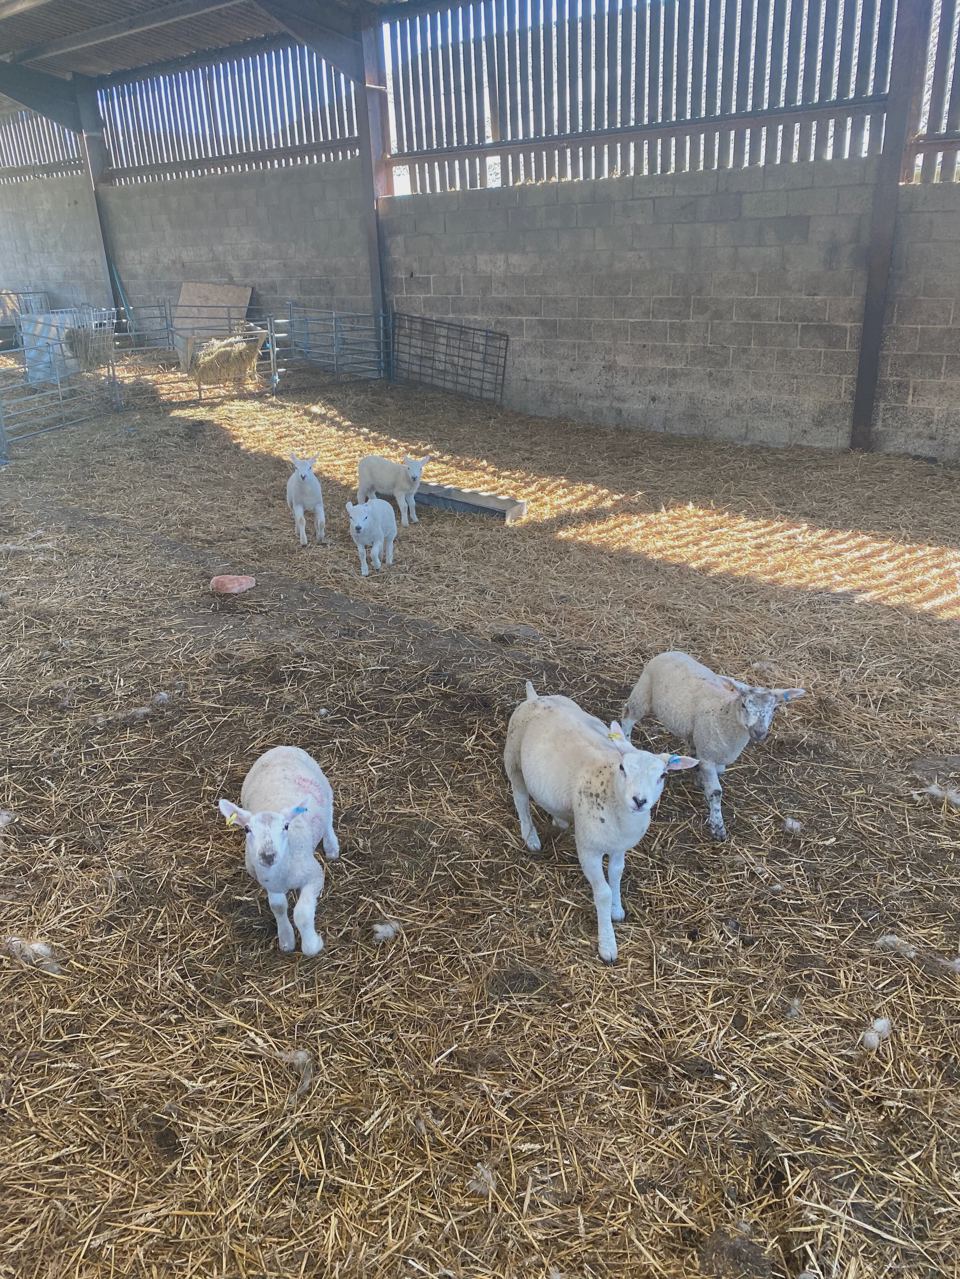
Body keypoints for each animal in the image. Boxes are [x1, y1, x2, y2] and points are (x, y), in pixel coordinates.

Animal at [218, 745, 340, 956]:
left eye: (286, 826)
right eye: (247, 829)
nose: (268, 856)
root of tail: (282, 747)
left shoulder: (314, 876)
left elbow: (302, 914)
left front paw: (313, 944)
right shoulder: (269, 883)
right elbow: (278, 907)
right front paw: (286, 940)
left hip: (324, 787)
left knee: (328, 816)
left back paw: (331, 846)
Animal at [504, 682, 698, 963]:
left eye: (663, 775)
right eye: (623, 768)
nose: (639, 800)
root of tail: (536, 697)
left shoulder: (619, 846)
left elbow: (616, 873)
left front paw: (617, 910)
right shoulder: (589, 849)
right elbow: (603, 892)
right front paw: (607, 943)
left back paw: (559, 820)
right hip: (513, 757)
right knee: (520, 798)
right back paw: (531, 837)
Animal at [621, 651, 805, 842]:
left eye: (775, 709)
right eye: (744, 705)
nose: (759, 732)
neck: (724, 712)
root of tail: (670, 652)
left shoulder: (716, 755)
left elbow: (717, 773)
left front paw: (700, 780)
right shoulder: (708, 757)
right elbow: (715, 792)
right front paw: (718, 827)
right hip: (643, 693)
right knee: (628, 715)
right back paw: (627, 739)